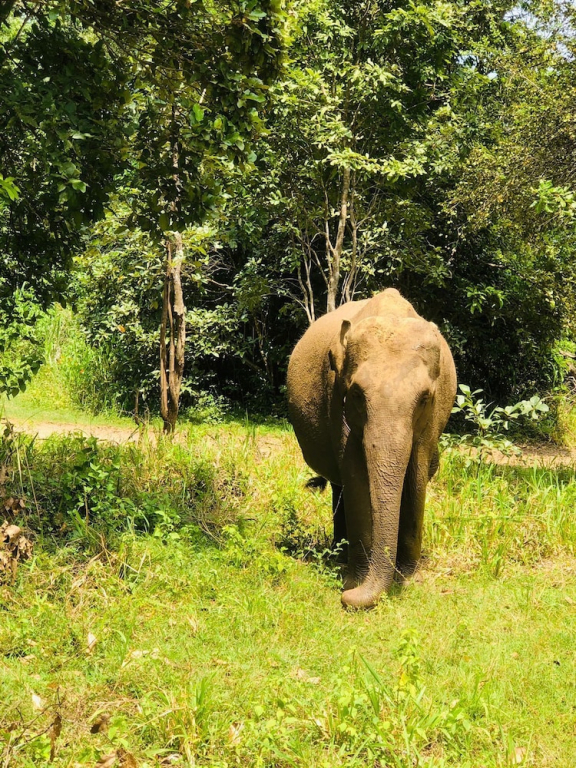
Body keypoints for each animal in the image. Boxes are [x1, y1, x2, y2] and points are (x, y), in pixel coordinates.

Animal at [287, 289, 457, 609]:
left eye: (425, 397)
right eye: (356, 393)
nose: (347, 597)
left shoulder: (432, 416)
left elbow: (416, 475)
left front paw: (407, 577)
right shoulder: (336, 395)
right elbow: (354, 474)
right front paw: (355, 580)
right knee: (340, 484)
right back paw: (340, 555)